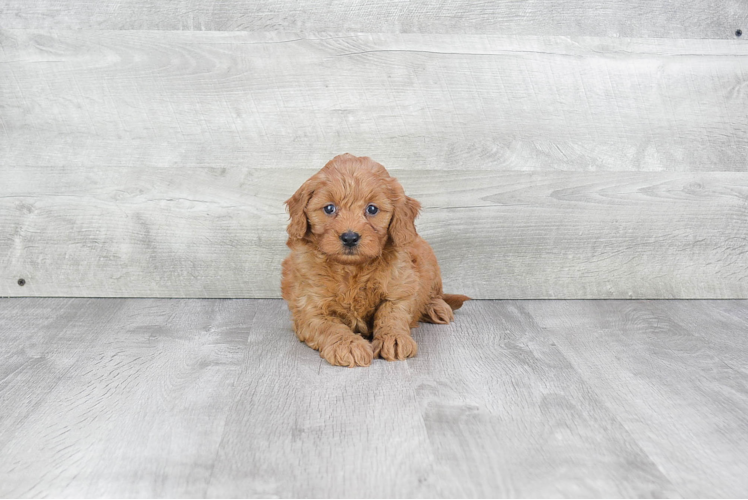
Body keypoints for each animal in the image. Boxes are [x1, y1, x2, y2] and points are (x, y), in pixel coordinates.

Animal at [280, 153, 468, 368]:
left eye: (372, 209)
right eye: (329, 208)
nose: (350, 237)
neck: (351, 270)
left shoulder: (400, 287)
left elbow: (391, 314)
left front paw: (393, 338)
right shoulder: (309, 307)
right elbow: (329, 326)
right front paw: (348, 345)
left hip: (430, 261)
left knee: (435, 293)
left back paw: (436, 307)